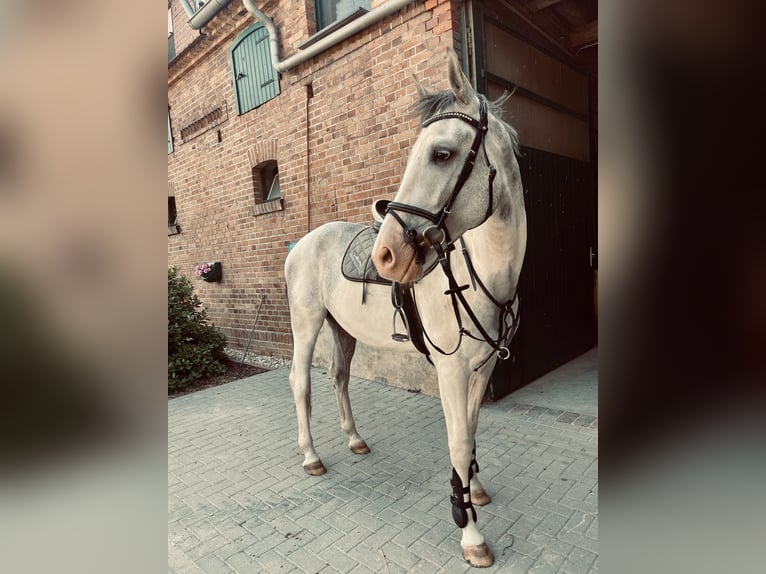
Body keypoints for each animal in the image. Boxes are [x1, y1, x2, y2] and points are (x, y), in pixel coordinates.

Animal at [284, 49, 527, 567]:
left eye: (442, 153)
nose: (386, 256)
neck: (483, 273)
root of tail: (302, 243)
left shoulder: (484, 367)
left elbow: (472, 428)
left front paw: (474, 490)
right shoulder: (451, 370)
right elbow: (457, 438)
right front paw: (469, 532)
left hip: (343, 329)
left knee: (338, 377)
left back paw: (354, 439)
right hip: (306, 324)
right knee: (301, 382)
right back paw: (311, 456)